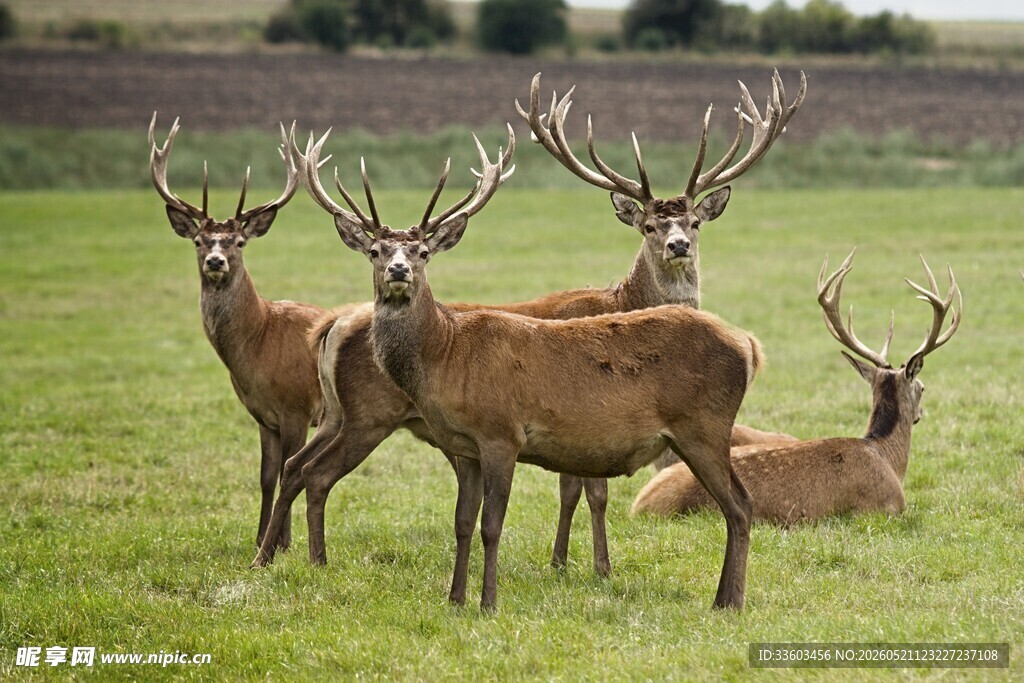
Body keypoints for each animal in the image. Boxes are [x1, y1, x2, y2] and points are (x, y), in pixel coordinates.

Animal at [149, 113, 345, 551]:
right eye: (199, 241)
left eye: (239, 241)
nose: (216, 261)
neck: (258, 345)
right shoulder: (262, 416)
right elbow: (266, 476)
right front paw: (259, 539)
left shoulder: (296, 407)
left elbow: (291, 469)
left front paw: (282, 543)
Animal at [250, 70, 806, 580]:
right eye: (649, 225)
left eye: (694, 222)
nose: (679, 245)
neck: (622, 300)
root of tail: (331, 325)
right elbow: (588, 491)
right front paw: (590, 566)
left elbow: (573, 487)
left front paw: (566, 562)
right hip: (368, 414)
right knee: (315, 474)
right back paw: (301, 559)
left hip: (337, 413)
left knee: (296, 468)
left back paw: (274, 554)